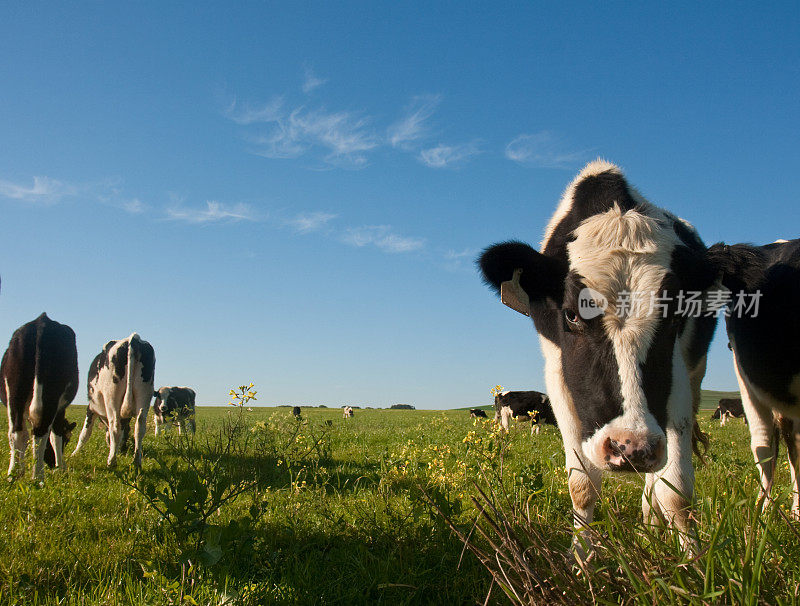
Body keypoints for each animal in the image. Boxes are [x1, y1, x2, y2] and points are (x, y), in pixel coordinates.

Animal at [1, 316, 79, 482]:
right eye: (68, 440)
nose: (51, 463)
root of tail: (42, 321)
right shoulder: (60, 409)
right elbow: (56, 436)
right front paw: (60, 467)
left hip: (15, 393)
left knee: (18, 432)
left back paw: (19, 475)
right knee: (38, 431)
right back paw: (37, 476)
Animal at [71, 334, 155, 468]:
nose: (123, 450)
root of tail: (133, 338)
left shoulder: (91, 408)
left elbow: (85, 433)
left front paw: (75, 453)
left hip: (111, 395)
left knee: (115, 426)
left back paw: (111, 461)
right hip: (145, 393)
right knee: (140, 427)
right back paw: (136, 462)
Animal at [482, 162, 720, 552]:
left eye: (674, 314)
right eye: (571, 315)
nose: (630, 448)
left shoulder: (678, 379)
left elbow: (677, 494)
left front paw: (693, 563)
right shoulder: (559, 377)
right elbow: (582, 485)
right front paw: (580, 558)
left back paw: (649, 526)